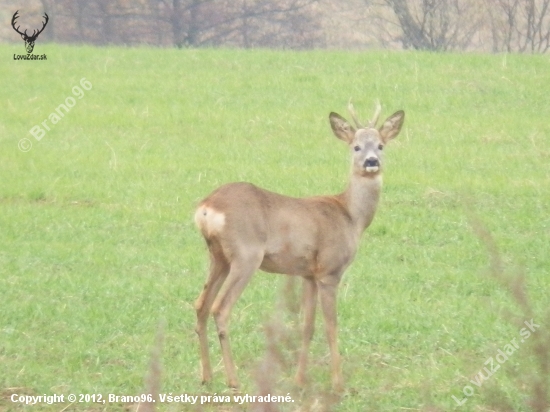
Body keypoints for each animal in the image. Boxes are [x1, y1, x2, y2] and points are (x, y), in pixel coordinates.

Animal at [194, 101, 406, 392]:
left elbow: (307, 326)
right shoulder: (329, 270)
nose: (371, 162)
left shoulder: (308, 273)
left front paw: (300, 379)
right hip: (246, 255)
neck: (350, 215)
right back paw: (233, 379)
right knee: (221, 308)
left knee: (200, 304)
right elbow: (331, 325)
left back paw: (207, 376)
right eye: (356, 146)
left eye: (381, 145)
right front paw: (337, 383)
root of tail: (207, 207)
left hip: (218, 256)